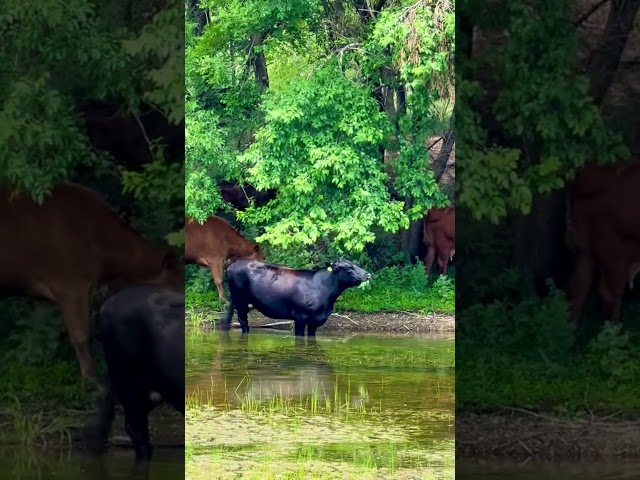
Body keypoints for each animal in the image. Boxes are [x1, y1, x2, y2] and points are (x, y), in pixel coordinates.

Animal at [220, 258, 370, 338]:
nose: (367, 274)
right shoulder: (300, 317)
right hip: (239, 300)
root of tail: (232, 265)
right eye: (349, 268)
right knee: (243, 321)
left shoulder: (315, 320)